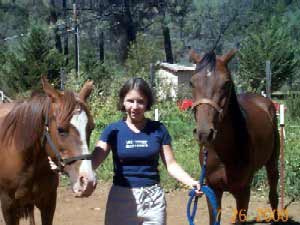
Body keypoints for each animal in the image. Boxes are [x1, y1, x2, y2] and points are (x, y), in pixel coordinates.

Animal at [189, 48, 280, 223]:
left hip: (272, 162)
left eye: (226, 83)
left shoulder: (243, 192)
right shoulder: (212, 189)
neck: (223, 154)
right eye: (191, 82)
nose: (204, 133)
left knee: (273, 195)